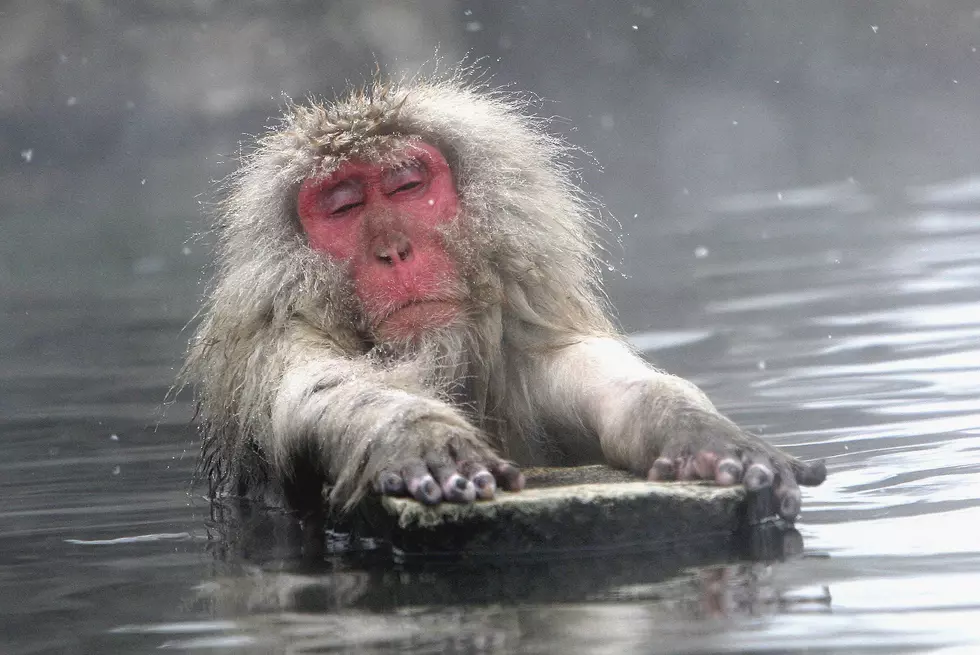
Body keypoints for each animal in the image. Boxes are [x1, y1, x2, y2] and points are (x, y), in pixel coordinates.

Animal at [180, 72, 824, 524]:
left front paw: (695, 430)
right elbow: (321, 388)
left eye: (406, 185)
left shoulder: (515, 349)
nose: (394, 250)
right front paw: (416, 434)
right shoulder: (279, 341)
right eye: (343, 207)